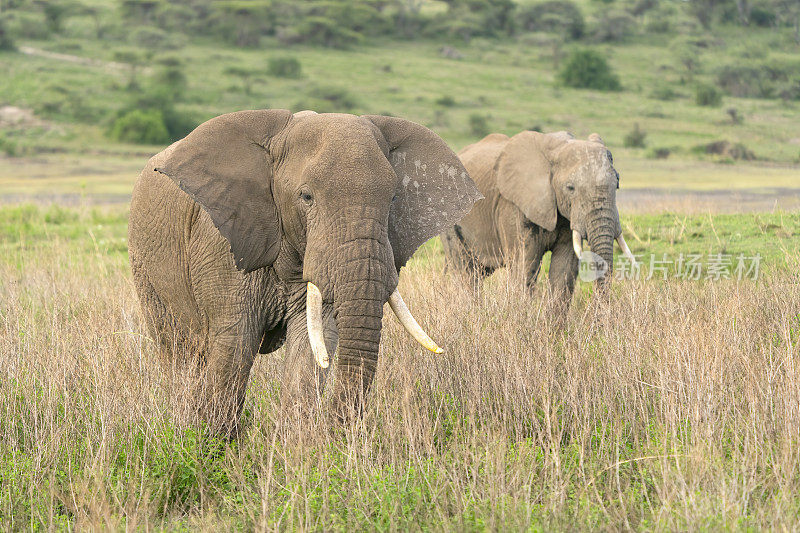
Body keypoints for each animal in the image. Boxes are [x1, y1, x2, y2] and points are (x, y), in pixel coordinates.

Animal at [128, 107, 482, 432]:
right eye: (306, 196)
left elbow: (311, 342)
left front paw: (296, 449)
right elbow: (234, 344)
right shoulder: (222, 247)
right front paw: (209, 446)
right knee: (181, 350)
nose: (336, 430)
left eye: (394, 198)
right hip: (144, 262)